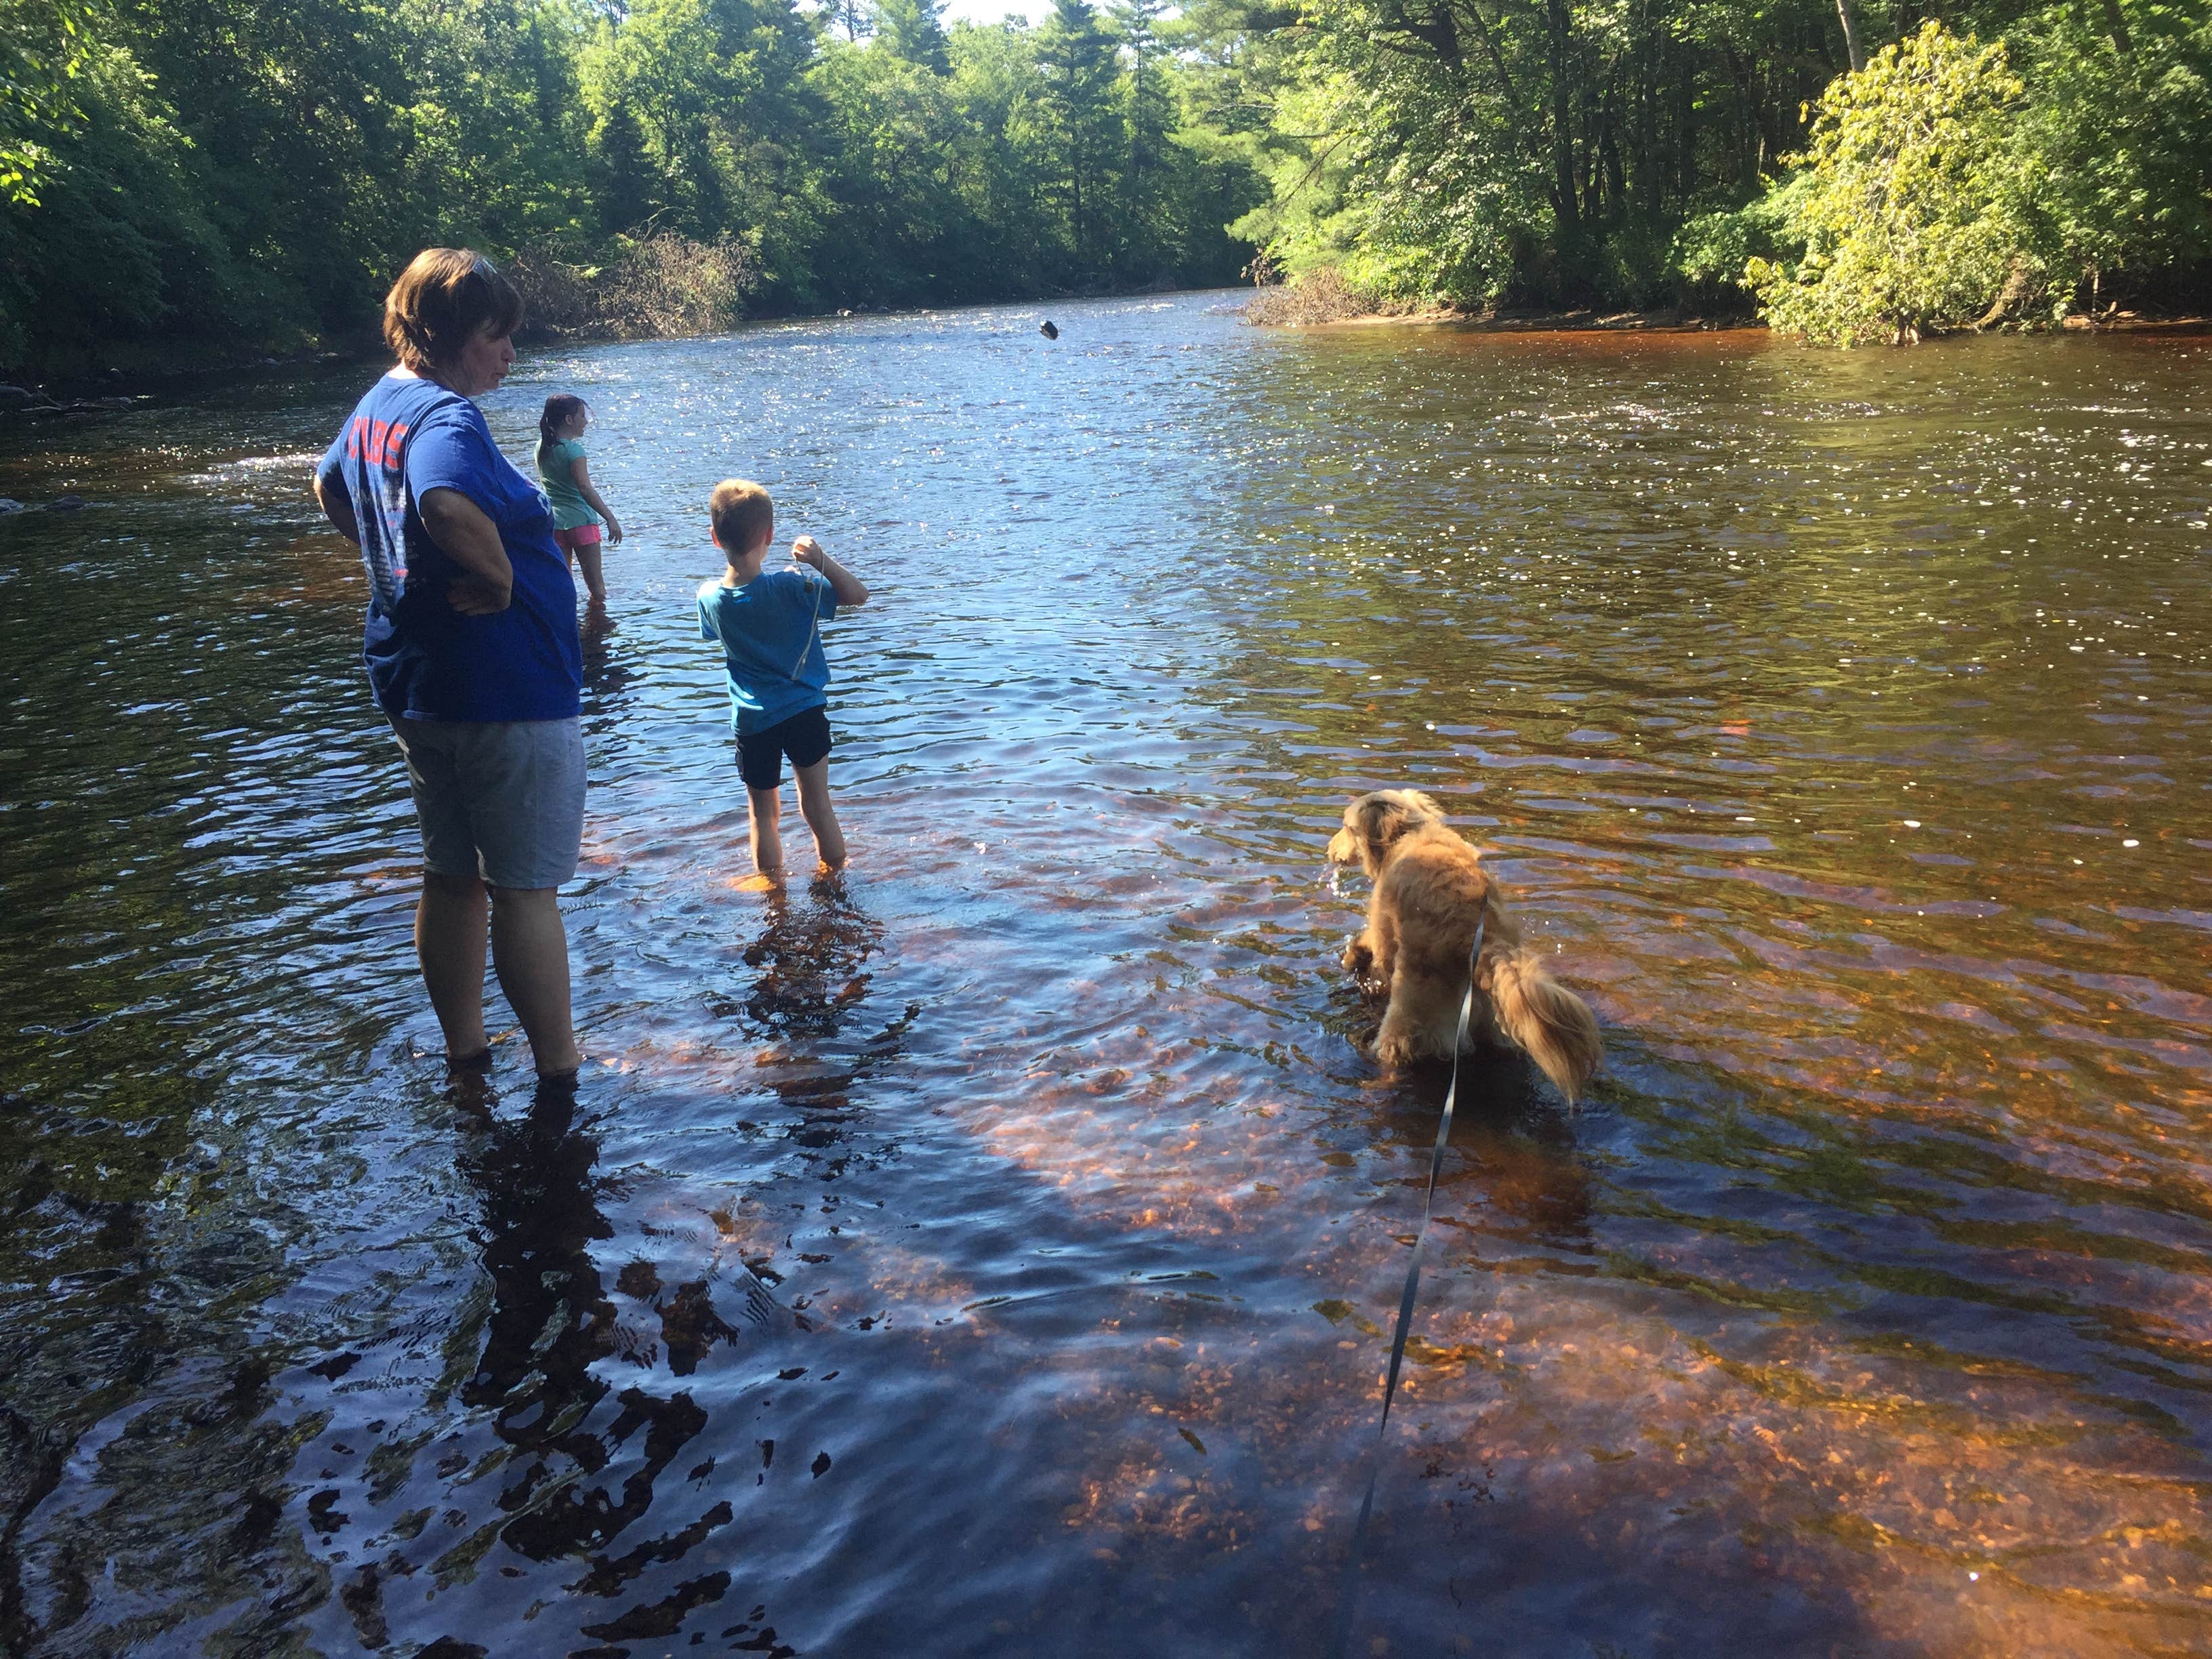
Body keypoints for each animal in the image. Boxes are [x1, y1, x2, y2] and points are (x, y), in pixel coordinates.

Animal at [1318, 792, 1601, 1106]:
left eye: (1347, 827)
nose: (1328, 849)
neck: (1410, 833)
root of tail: (1480, 942)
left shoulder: (1385, 932)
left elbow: (1372, 950)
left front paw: (1352, 957)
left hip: (1407, 1016)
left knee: (1394, 1050)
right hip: (1491, 1023)